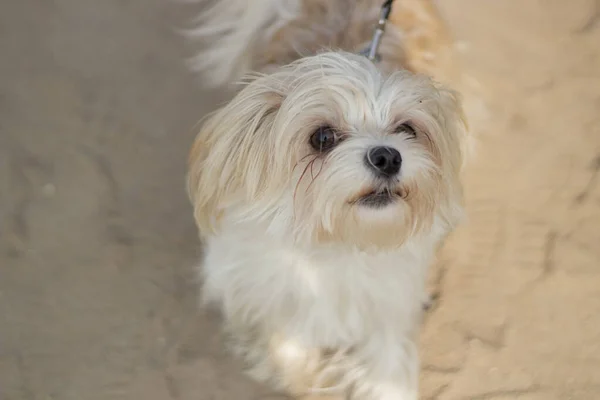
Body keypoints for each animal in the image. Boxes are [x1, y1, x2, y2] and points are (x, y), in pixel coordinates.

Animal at [185, 1, 466, 398]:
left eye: (407, 129)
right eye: (321, 137)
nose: (388, 156)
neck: (334, 246)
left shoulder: (386, 309)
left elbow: (388, 371)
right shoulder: (274, 299)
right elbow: (289, 352)